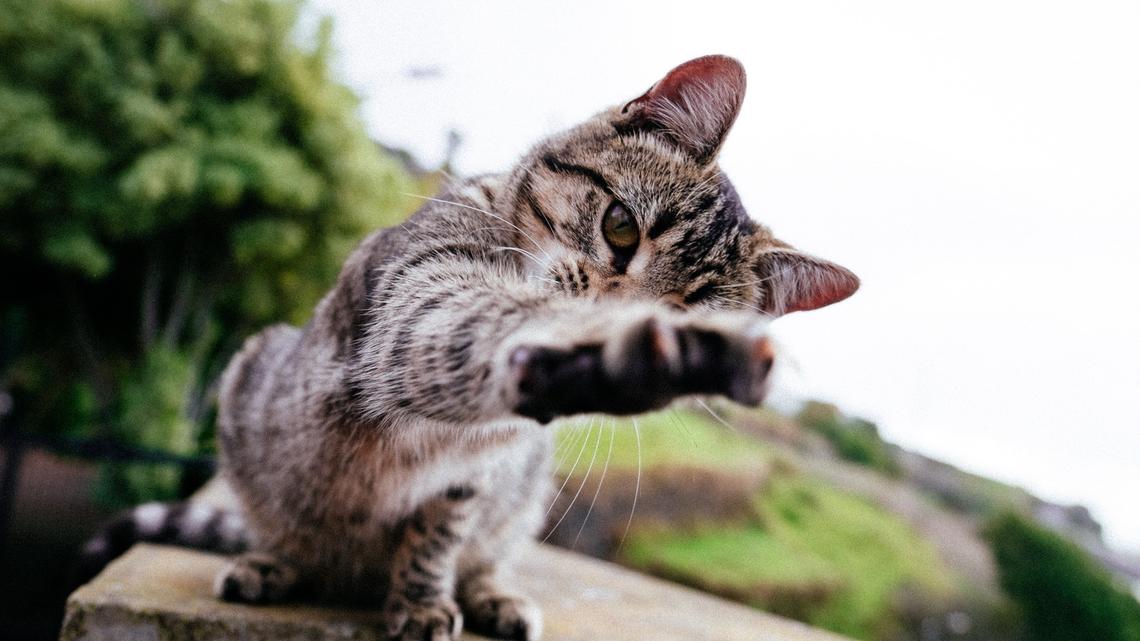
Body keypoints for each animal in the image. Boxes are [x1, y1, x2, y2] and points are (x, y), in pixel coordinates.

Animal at [78, 56, 857, 638]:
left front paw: (425, 597)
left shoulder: (476, 471)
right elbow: (483, 320)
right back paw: (276, 561)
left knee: (480, 552)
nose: (621, 313)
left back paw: (490, 595)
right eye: (620, 227)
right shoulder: (419, 299)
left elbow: (439, 534)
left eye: (689, 306)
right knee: (283, 531)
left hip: (524, 493)